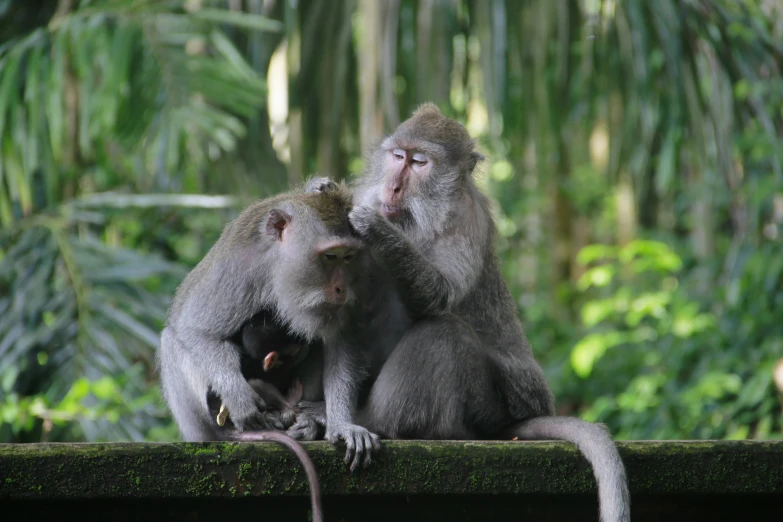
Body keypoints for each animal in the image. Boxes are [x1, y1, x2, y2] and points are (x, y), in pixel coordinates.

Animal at [157, 181, 380, 470]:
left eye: (348, 257)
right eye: (330, 256)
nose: (341, 289)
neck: (278, 265)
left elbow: (340, 341)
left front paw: (342, 425)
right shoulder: (239, 268)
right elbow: (197, 331)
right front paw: (239, 397)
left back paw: (306, 424)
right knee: (171, 340)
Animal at [298, 102, 632, 520]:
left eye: (419, 163)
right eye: (397, 157)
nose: (393, 187)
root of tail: (513, 421)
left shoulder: (465, 219)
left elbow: (438, 297)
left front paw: (374, 226)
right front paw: (318, 188)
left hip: (484, 408)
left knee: (444, 332)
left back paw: (361, 420)